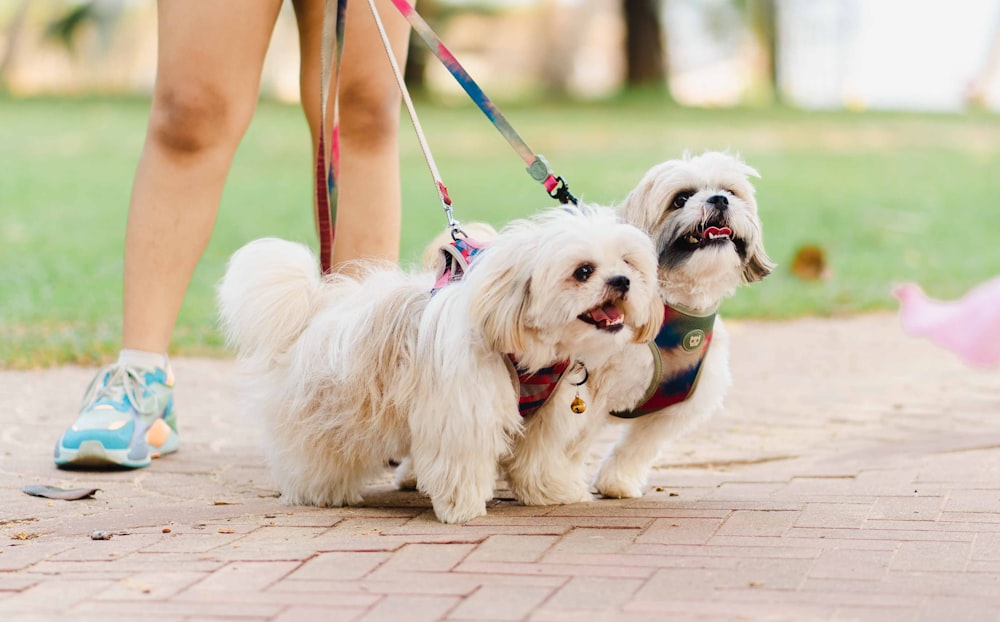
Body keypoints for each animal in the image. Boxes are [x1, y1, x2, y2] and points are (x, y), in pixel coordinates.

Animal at [217, 207, 664, 524]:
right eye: (583, 271)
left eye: (628, 263)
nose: (622, 282)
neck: (526, 351)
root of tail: (312, 310)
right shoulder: (464, 412)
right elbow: (462, 461)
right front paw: (462, 507)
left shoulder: (544, 417)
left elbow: (539, 457)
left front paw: (551, 492)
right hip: (333, 412)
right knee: (317, 453)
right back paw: (320, 491)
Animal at [508, 152, 772, 508]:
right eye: (681, 199)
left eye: (730, 191)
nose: (719, 199)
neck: (673, 308)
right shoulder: (590, 394)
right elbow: (573, 444)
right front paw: (559, 483)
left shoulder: (676, 406)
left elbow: (639, 446)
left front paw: (617, 482)